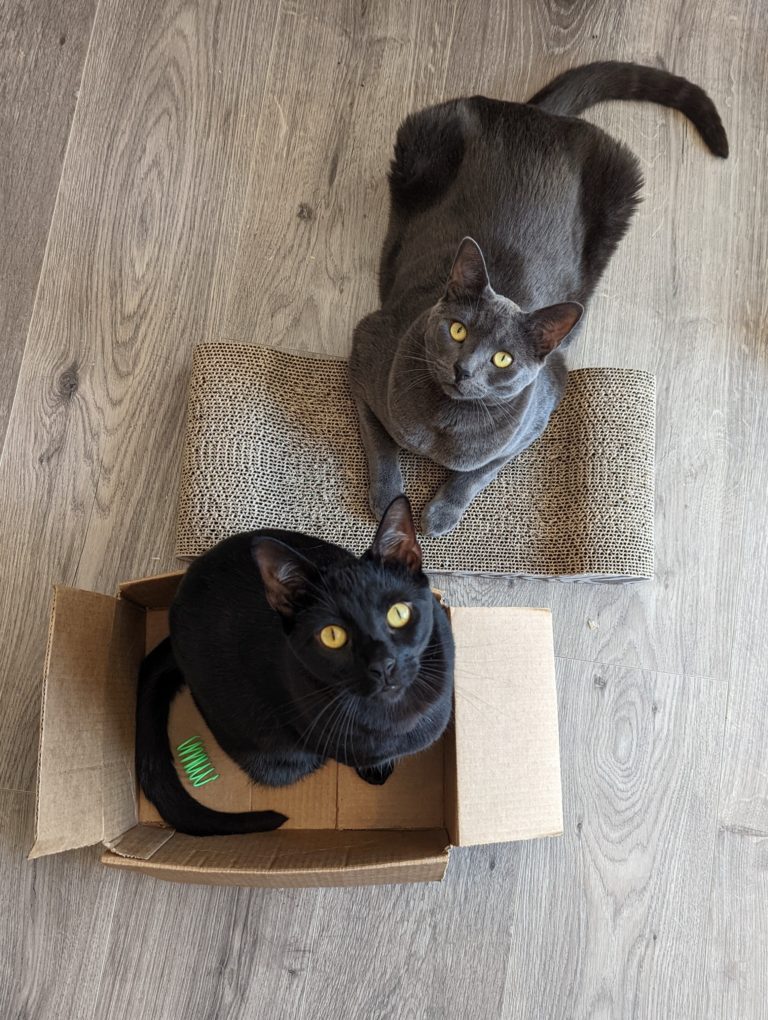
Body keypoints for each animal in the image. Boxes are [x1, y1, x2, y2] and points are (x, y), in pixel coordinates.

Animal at [134, 493, 452, 836]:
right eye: (332, 635)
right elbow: (364, 757)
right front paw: (374, 771)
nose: (383, 664)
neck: (400, 716)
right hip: (278, 755)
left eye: (398, 613)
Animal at [178, 342, 652, 583]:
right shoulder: (366, 391)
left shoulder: (528, 431)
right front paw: (388, 494)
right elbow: (381, 445)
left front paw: (439, 514)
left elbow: (475, 474)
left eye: (499, 361)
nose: (463, 373)